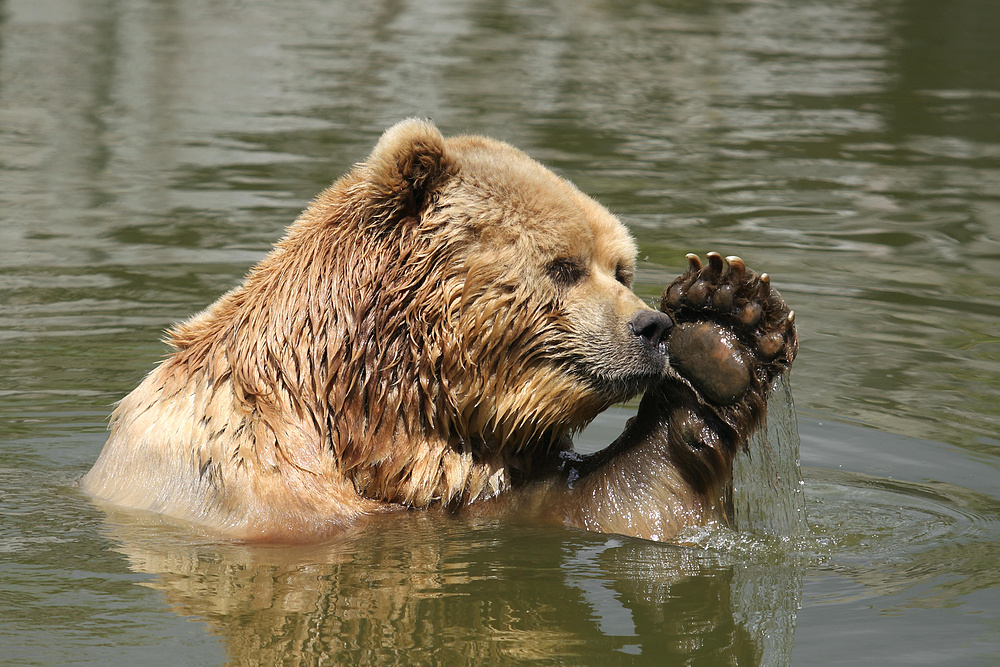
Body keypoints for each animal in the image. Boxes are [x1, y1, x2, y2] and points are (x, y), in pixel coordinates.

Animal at [80, 118, 796, 544]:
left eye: (621, 266)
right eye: (564, 266)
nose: (652, 325)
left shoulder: (489, 490)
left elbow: (622, 503)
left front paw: (727, 322)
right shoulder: (261, 494)